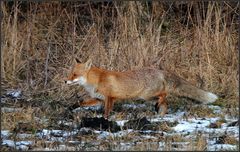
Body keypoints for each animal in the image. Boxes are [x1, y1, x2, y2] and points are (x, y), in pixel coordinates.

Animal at [64, 58, 218, 119]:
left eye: (75, 75)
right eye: (70, 74)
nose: (65, 81)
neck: (95, 81)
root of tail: (159, 70)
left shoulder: (109, 98)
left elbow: (106, 112)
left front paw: (104, 121)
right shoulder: (98, 99)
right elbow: (80, 103)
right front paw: (70, 108)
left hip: (146, 95)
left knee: (164, 95)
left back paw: (159, 106)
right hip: (148, 96)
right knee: (165, 102)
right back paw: (160, 114)